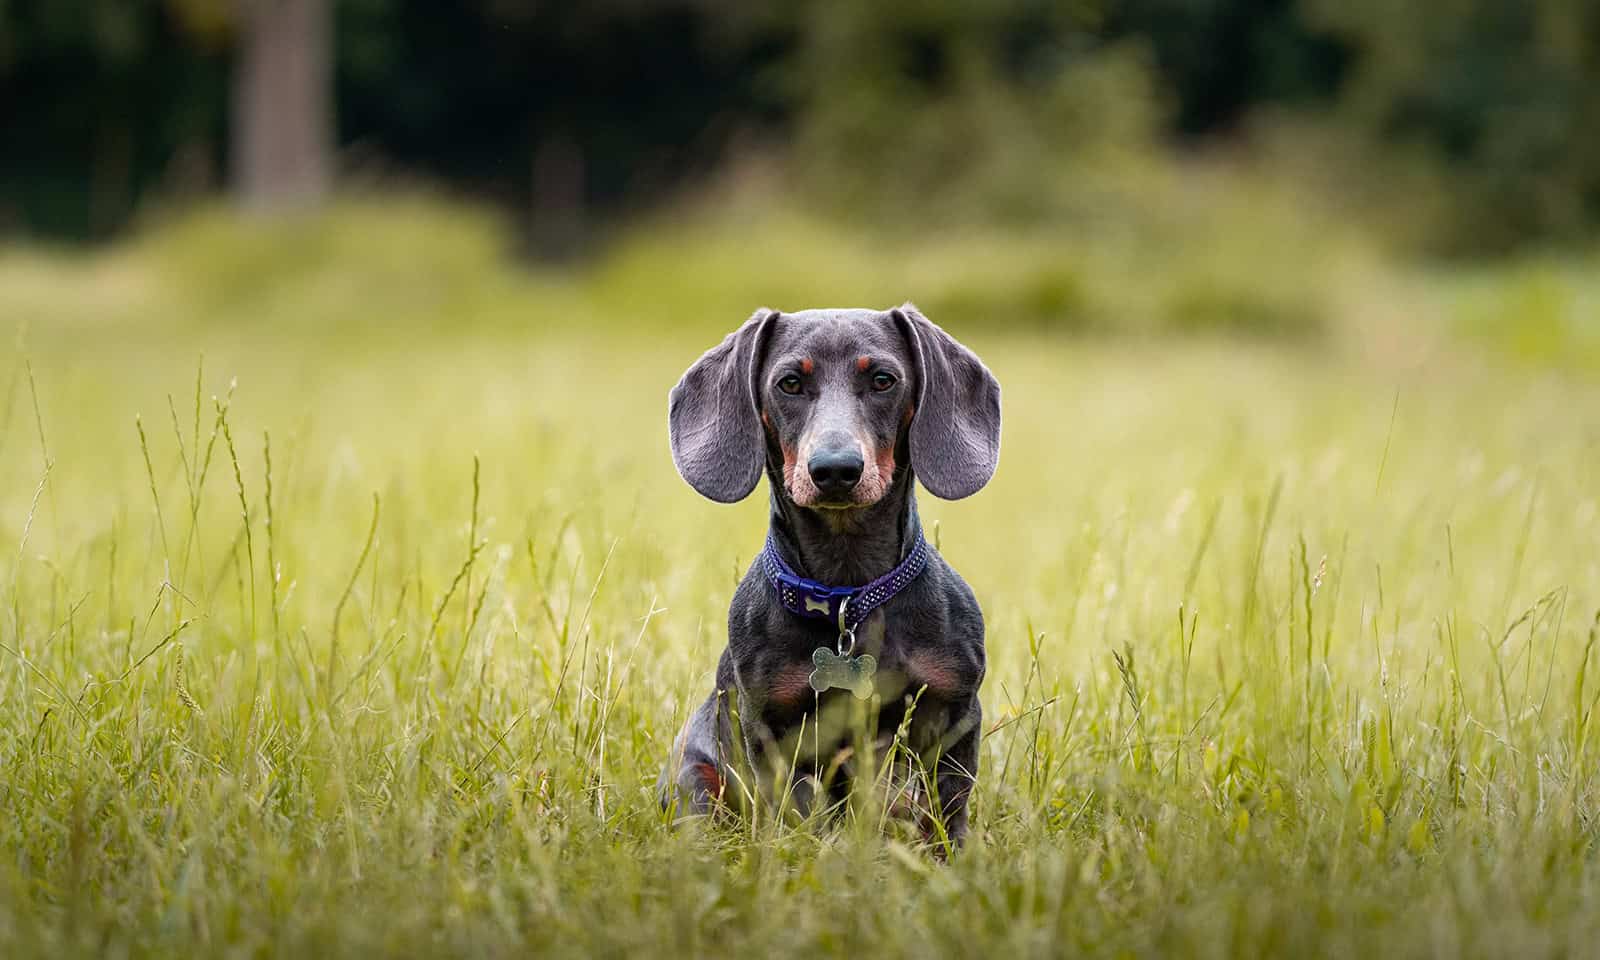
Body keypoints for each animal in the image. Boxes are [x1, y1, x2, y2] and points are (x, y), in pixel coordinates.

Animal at [656, 302, 992, 844]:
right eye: (790, 383)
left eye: (883, 380)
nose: (835, 469)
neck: (848, 597)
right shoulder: (773, 729)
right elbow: (795, 813)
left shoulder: (955, 713)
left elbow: (946, 811)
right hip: (696, 780)